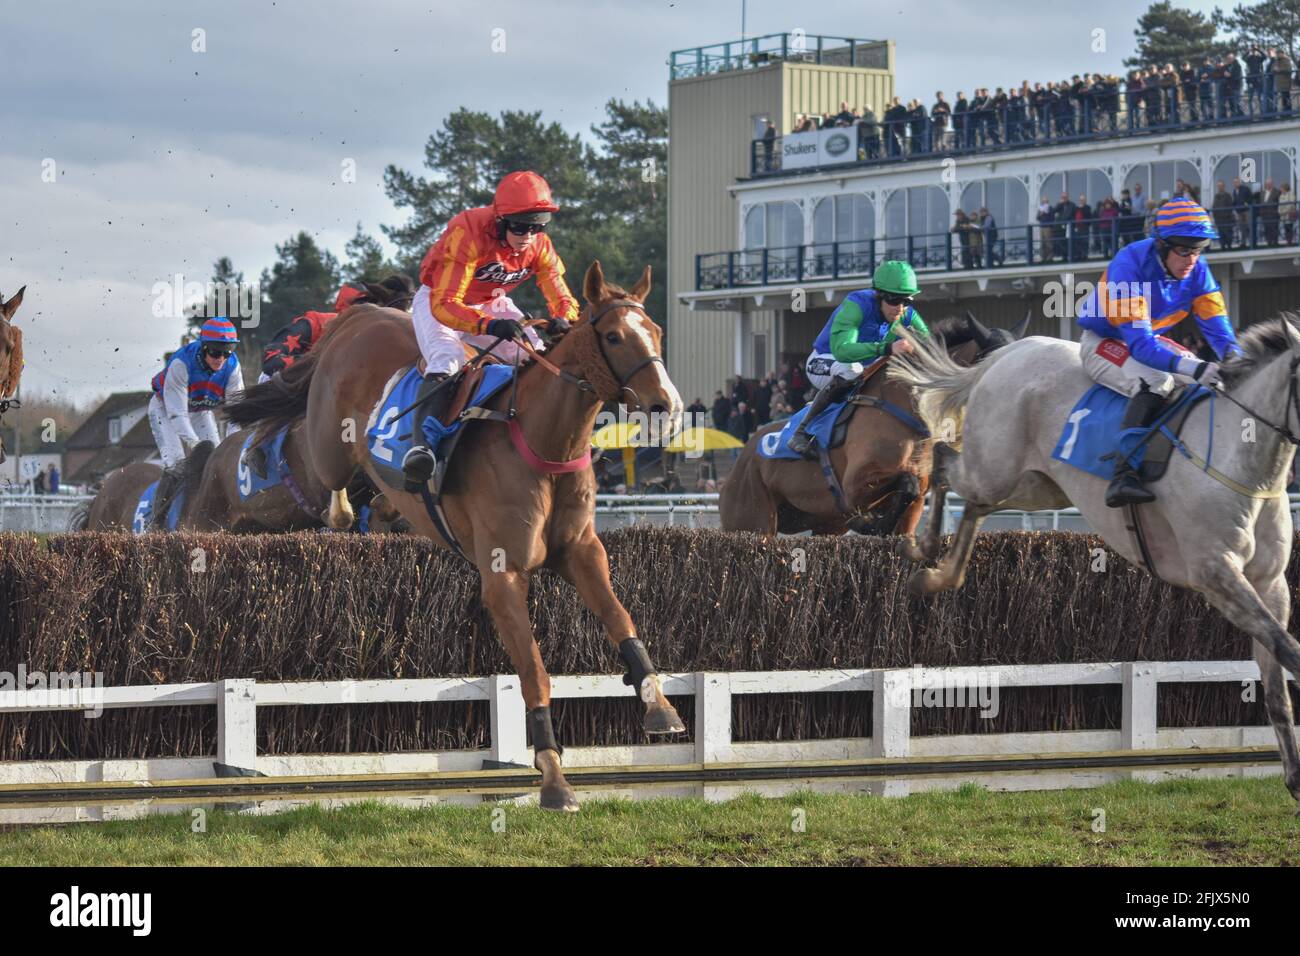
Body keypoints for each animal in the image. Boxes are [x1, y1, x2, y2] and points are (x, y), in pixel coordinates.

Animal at [223, 260, 691, 806]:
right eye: (614, 336)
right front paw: (554, 778)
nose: (667, 405)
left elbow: (622, 620)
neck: (542, 442)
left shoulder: (582, 552)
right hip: (328, 445)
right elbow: (534, 672)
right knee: (331, 489)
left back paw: (389, 502)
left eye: (656, 331)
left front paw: (660, 707)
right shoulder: (502, 575)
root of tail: (360, 316)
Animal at [722, 314, 1024, 538]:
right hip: (752, 519)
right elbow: (905, 482)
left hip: (821, 522)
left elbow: (909, 495)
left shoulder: (916, 502)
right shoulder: (854, 486)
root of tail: (745, 453)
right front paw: (869, 523)